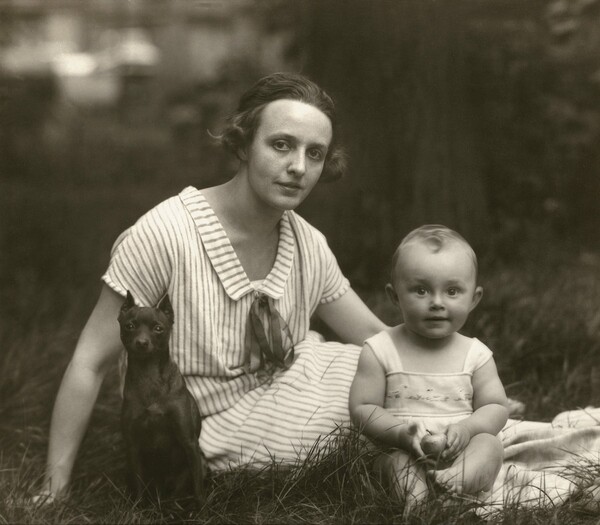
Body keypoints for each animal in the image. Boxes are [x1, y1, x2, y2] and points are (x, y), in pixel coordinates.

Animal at [118, 290, 210, 504]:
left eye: (158, 328)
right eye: (130, 326)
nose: (142, 343)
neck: (149, 374)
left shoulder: (189, 442)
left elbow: (198, 488)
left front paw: (203, 508)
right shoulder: (133, 446)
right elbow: (138, 485)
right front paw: (138, 507)